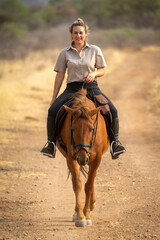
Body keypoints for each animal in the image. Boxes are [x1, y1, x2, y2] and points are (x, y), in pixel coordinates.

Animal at [56, 88, 109, 227]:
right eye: (73, 129)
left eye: (92, 129)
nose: (82, 157)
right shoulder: (71, 157)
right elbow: (77, 184)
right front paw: (80, 216)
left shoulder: (97, 158)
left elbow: (89, 185)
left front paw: (87, 214)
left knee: (92, 179)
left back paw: (92, 204)